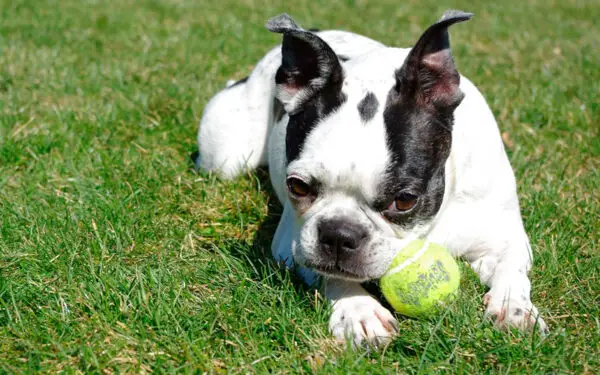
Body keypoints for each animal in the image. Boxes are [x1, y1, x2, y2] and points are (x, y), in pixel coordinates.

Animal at [196, 10, 548, 348]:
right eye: (297, 185)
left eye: (405, 200)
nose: (339, 234)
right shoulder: (292, 244)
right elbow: (331, 274)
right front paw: (358, 310)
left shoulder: (506, 238)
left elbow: (512, 270)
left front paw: (514, 309)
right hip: (227, 157)